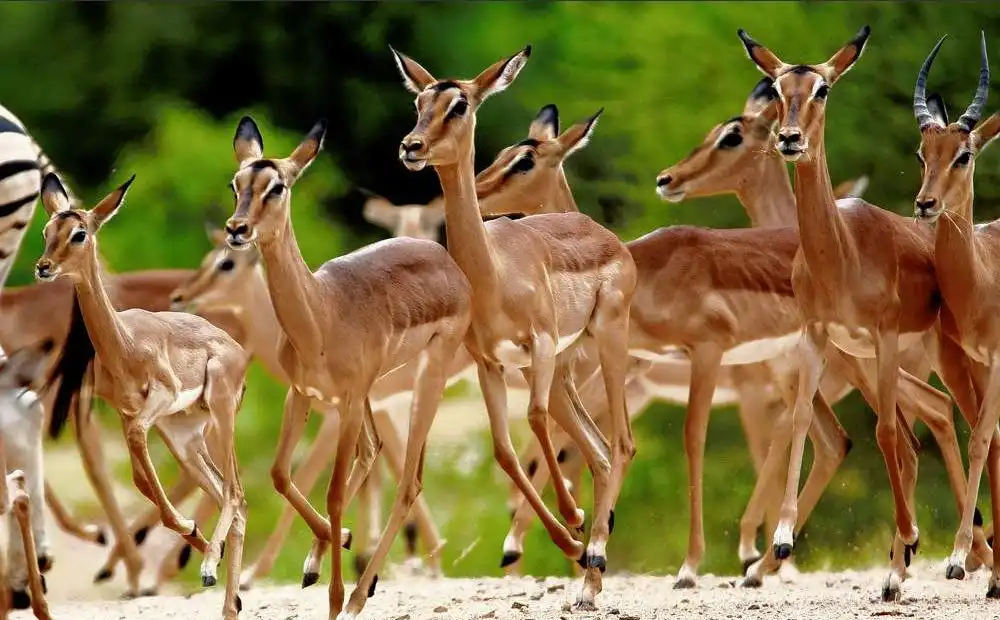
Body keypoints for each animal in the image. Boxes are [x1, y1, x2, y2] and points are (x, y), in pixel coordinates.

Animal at [35, 172, 250, 619]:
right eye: (47, 231)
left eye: (79, 233)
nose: (43, 267)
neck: (126, 344)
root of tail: (237, 350)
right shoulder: (126, 413)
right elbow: (139, 478)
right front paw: (194, 534)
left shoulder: (151, 407)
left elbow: (143, 468)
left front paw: (193, 537)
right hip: (183, 436)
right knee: (229, 497)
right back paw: (227, 599)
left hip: (219, 416)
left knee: (236, 493)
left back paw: (208, 568)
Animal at [225, 114, 472, 619]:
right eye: (236, 182)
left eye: (277, 186)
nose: (236, 229)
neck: (322, 314)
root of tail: (448, 262)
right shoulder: (303, 395)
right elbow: (281, 475)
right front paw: (334, 545)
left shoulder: (349, 400)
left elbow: (335, 492)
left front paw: (336, 597)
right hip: (368, 399)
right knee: (373, 453)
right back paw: (329, 565)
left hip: (423, 381)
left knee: (409, 482)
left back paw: (358, 594)